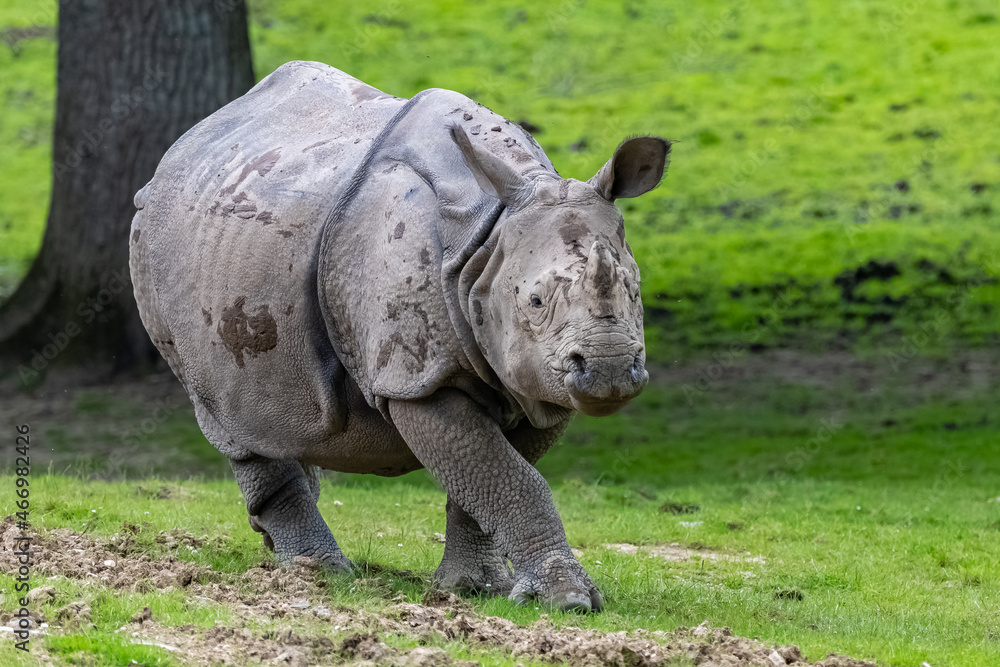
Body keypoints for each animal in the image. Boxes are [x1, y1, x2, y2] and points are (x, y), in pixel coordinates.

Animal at [130, 61, 670, 612]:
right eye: (536, 302)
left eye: (634, 288)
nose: (608, 369)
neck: (486, 237)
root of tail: (181, 148)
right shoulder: (418, 379)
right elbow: (514, 480)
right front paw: (569, 600)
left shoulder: (539, 380)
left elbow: (488, 481)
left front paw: (475, 588)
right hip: (150, 239)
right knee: (228, 420)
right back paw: (321, 575)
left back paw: (287, 557)